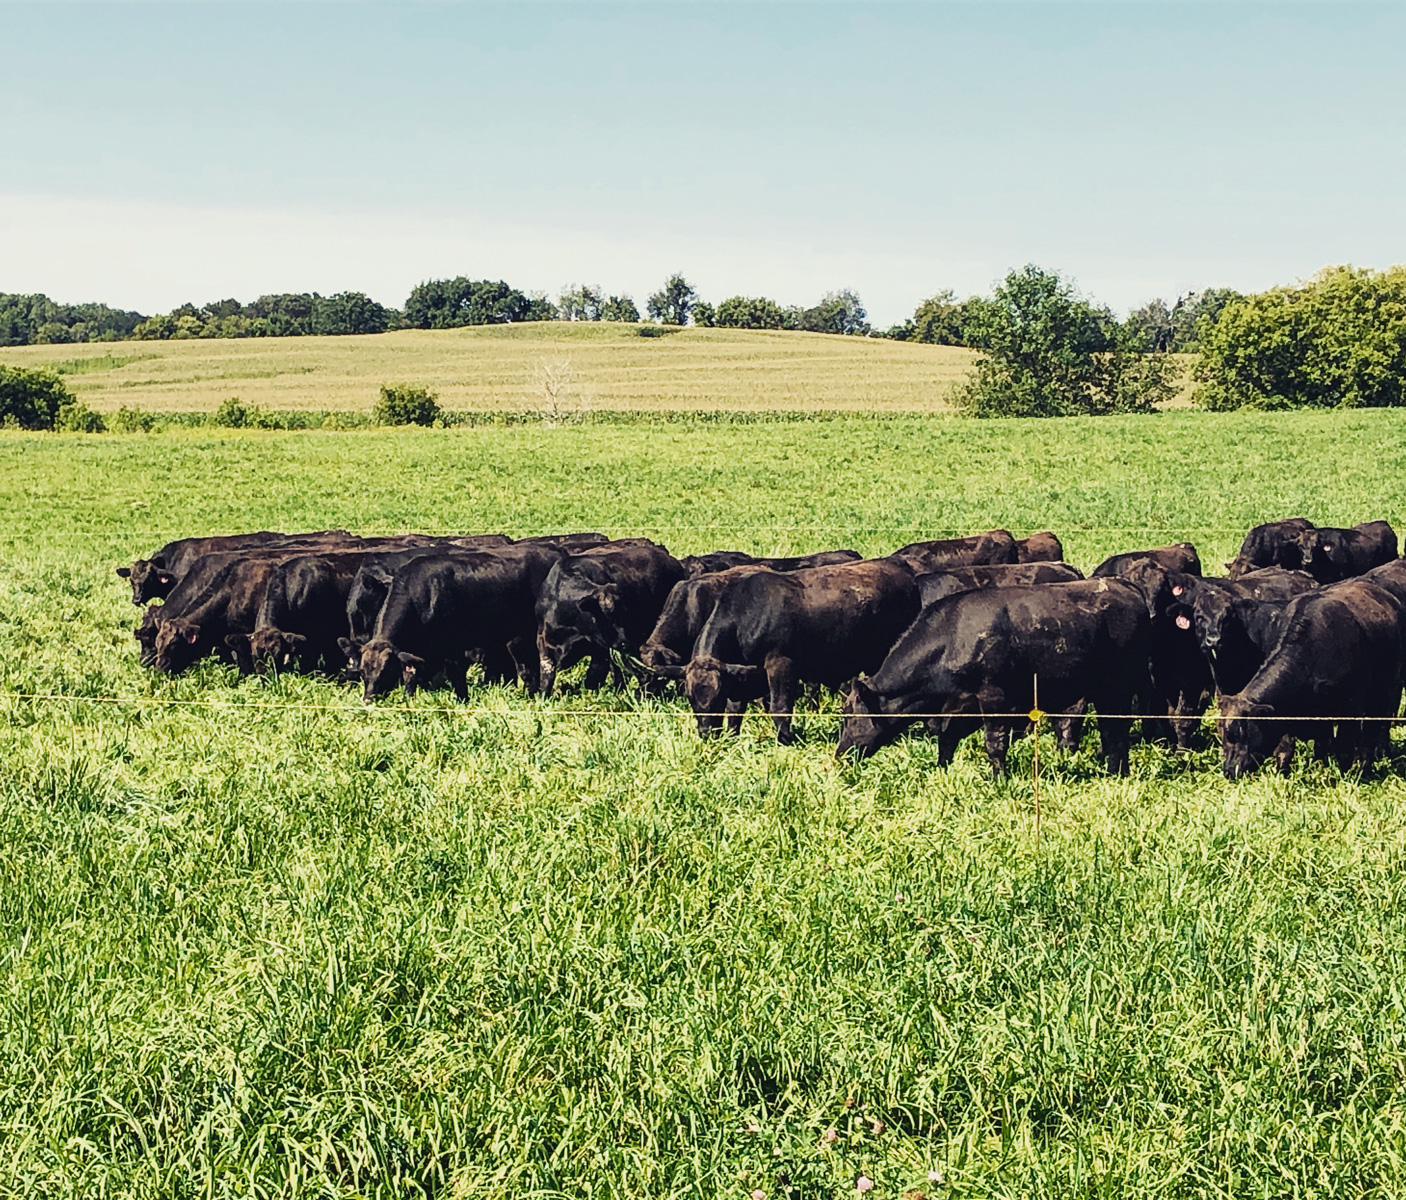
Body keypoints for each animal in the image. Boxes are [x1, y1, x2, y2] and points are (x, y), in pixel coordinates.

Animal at [352, 545, 565, 701]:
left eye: (386, 670)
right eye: (362, 671)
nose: (368, 699)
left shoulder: (452, 647)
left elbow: (456, 676)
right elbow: (410, 679)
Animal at [536, 541, 687, 696]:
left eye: (625, 613)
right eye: (607, 617)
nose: (625, 642)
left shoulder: (601, 649)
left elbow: (596, 676)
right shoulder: (543, 639)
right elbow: (547, 671)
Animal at [684, 558, 920, 744]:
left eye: (717, 697)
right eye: (690, 697)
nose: (706, 733)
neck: (746, 613)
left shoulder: (781, 664)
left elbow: (780, 707)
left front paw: (785, 740)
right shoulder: (740, 675)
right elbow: (735, 710)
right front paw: (732, 739)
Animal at [837, 578, 1152, 777]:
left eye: (852, 717)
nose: (841, 754)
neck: (950, 638)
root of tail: (1123, 585)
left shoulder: (994, 696)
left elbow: (994, 741)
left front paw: (999, 780)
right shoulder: (961, 703)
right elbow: (947, 737)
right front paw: (941, 772)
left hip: (1119, 686)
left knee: (1116, 730)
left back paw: (1116, 773)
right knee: (1112, 730)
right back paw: (1116, 772)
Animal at [1219, 579, 1404, 778]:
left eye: (1238, 734)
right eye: (1225, 734)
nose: (1229, 770)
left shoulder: (1350, 706)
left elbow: (1343, 748)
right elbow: (1287, 748)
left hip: (1384, 691)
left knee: (1373, 731)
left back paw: (1366, 767)